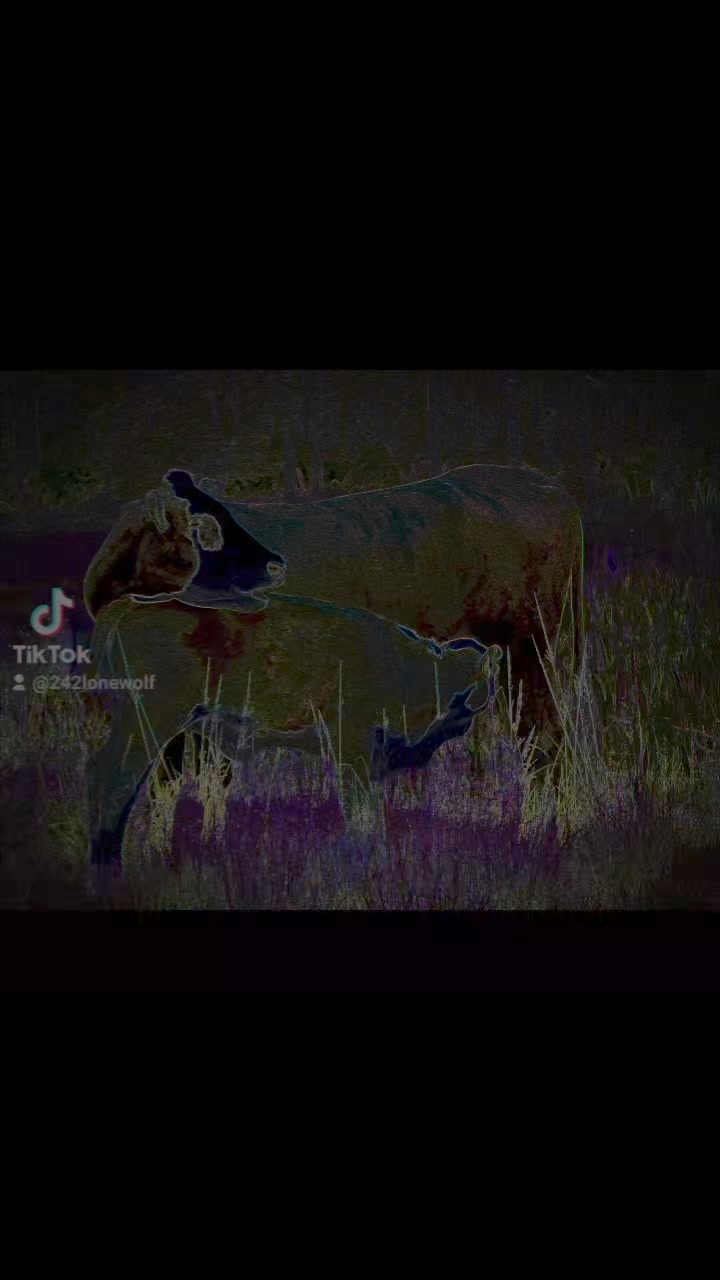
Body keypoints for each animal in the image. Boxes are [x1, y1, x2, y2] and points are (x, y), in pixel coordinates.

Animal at [87, 589, 500, 865]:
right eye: (477, 671)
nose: (484, 691)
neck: (405, 665)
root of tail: (132, 605)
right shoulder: (353, 750)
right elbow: (361, 811)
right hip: (148, 725)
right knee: (116, 779)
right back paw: (109, 863)